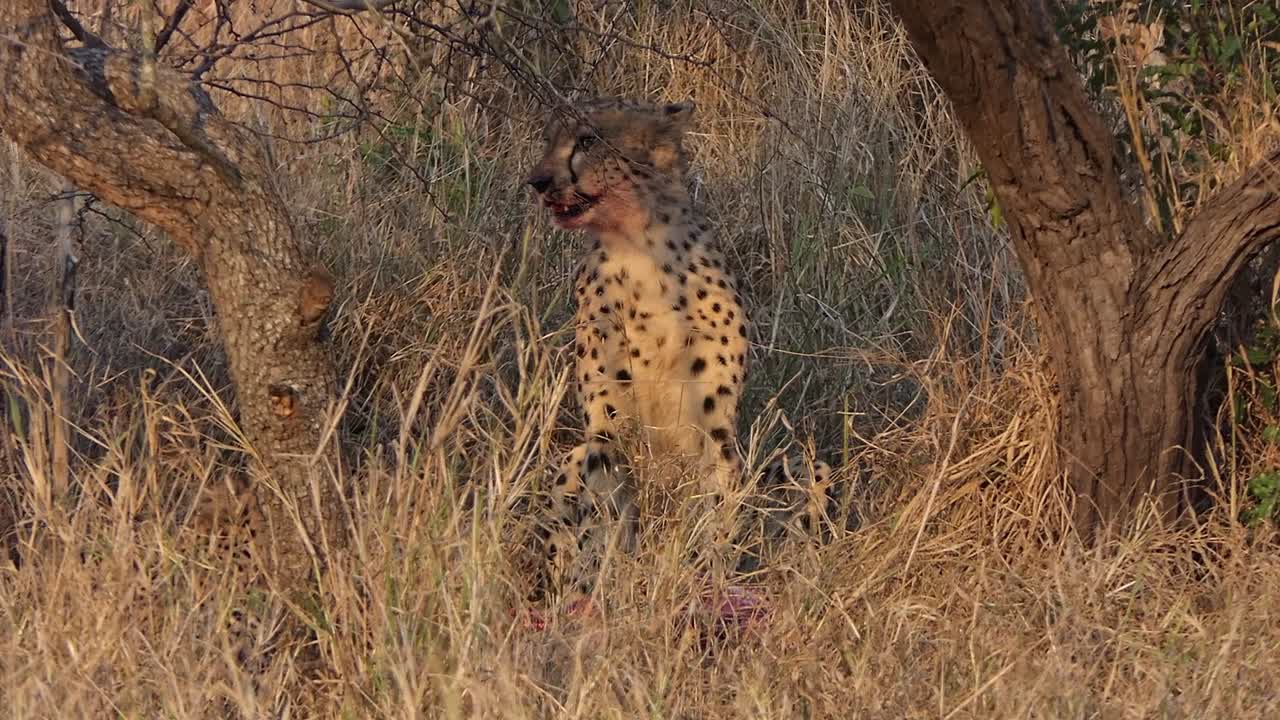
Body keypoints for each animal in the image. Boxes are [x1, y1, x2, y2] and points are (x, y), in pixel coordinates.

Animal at [524, 97, 833, 615]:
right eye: (549, 140)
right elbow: (605, 524)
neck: (638, 248)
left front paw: (705, 583)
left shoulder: (716, 432)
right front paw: (600, 594)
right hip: (575, 456)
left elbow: (715, 516)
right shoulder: (606, 432)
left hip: (799, 466)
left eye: (588, 140)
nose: (539, 181)